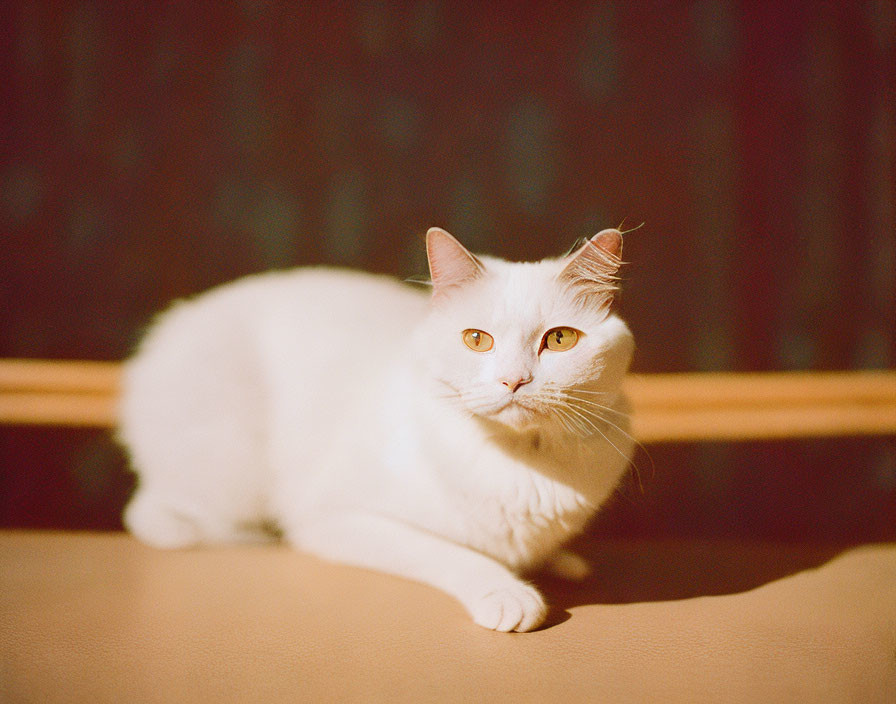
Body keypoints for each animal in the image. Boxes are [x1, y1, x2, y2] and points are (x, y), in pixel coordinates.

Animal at [119, 227, 636, 632]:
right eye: (476, 340)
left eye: (561, 339)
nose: (514, 381)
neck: (524, 461)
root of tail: (168, 329)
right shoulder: (340, 520)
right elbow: (455, 553)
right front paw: (508, 592)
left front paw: (558, 560)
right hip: (230, 476)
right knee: (151, 514)